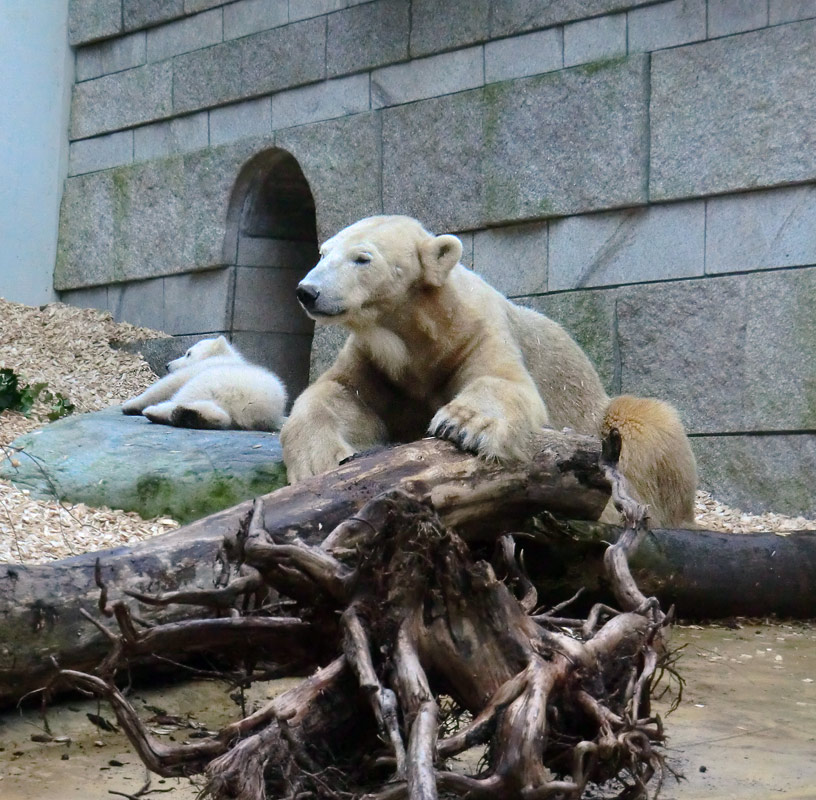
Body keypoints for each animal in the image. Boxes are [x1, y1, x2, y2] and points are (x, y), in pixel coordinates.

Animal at [280, 214, 696, 524]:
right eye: (322, 253)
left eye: (362, 258)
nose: (307, 291)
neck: (419, 332)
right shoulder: (376, 363)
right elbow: (337, 394)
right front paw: (318, 461)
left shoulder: (475, 334)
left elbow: (504, 380)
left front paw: (462, 424)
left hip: (605, 418)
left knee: (645, 425)